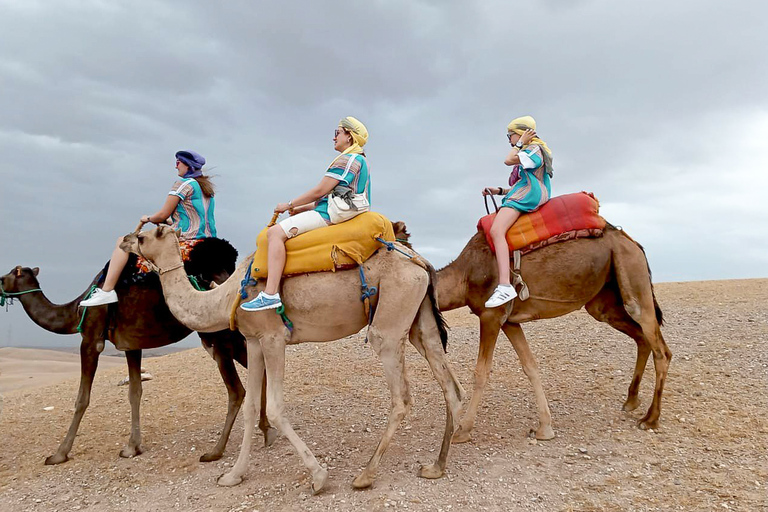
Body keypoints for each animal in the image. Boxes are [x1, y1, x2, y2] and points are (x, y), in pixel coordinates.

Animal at [0, 238, 276, 466]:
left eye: (7, 276)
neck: (74, 311)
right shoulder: (130, 344)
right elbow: (135, 392)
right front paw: (132, 447)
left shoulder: (90, 339)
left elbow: (81, 399)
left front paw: (59, 454)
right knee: (258, 370)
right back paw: (266, 430)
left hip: (217, 335)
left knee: (237, 389)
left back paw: (216, 451)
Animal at [121, 226, 462, 494]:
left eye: (143, 236)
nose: (124, 240)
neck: (226, 296)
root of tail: (421, 262)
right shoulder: (254, 341)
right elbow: (251, 407)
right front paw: (232, 475)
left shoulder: (273, 338)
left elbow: (273, 407)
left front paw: (319, 477)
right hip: (419, 320)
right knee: (449, 385)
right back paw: (436, 466)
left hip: (390, 321)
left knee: (401, 395)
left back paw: (365, 475)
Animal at [396, 222, 672, 442]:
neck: (464, 276)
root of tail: (633, 243)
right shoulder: (509, 321)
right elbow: (530, 366)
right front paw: (544, 428)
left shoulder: (490, 315)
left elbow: (481, 373)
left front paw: (463, 430)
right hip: (604, 300)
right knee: (641, 338)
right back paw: (631, 401)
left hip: (631, 273)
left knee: (660, 348)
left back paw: (651, 418)